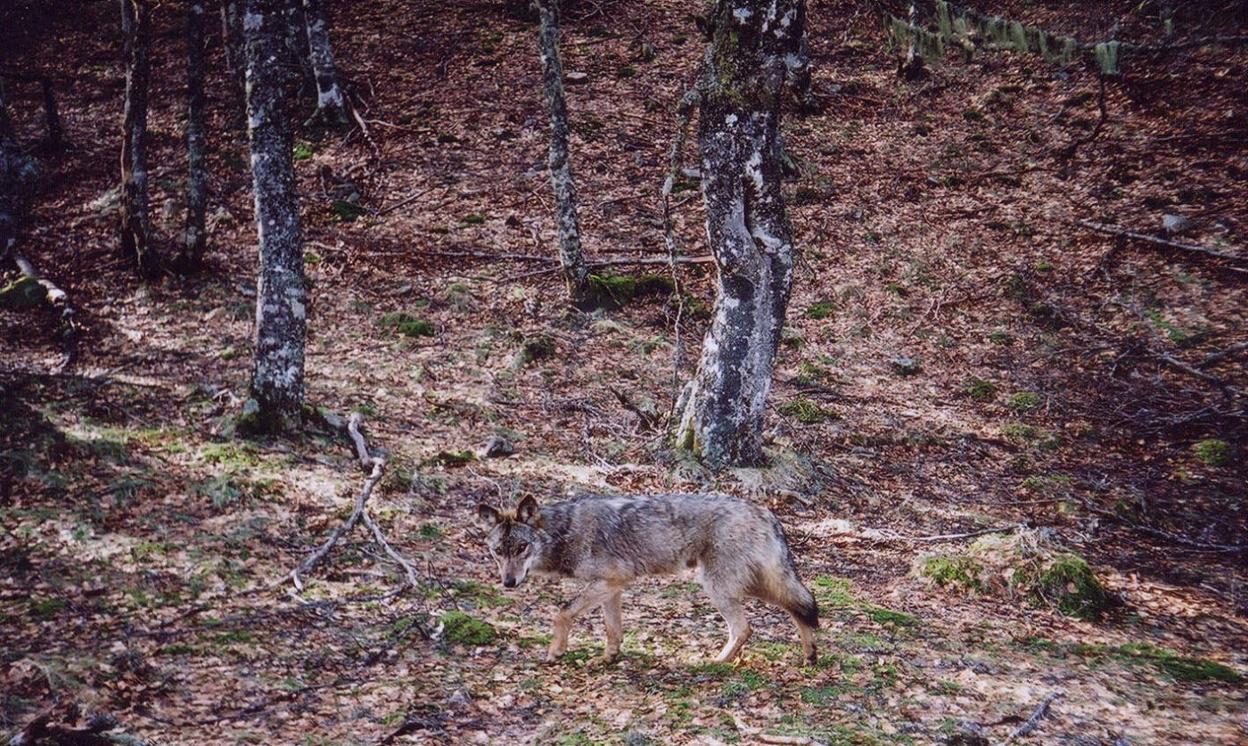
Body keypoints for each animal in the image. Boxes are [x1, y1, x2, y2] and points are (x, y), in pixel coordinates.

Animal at [476, 496, 818, 668]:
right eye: (498, 551)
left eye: (522, 548)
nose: (508, 583)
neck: (565, 531)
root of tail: (766, 512)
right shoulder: (612, 586)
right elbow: (612, 628)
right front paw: (609, 657)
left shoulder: (608, 583)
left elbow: (562, 611)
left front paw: (555, 652)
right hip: (753, 586)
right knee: (801, 606)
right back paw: (809, 655)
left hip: (718, 587)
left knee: (748, 627)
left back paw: (715, 662)